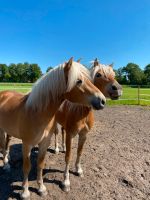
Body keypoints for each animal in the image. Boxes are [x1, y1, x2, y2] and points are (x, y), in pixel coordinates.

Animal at [0, 57, 106, 198]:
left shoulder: (44, 143)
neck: (36, 112)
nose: (102, 101)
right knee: (2, 146)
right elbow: (27, 167)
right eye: (78, 81)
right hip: (1, 130)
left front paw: (41, 188)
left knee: (7, 144)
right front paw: (25, 192)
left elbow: (40, 164)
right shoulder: (27, 144)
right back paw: (6, 165)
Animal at [52, 58, 122, 191]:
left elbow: (79, 152)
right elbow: (68, 156)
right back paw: (57, 149)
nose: (118, 89)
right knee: (56, 133)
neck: (81, 112)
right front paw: (66, 182)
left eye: (114, 74)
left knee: (62, 132)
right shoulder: (71, 134)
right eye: (98, 74)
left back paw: (63, 147)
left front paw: (78, 170)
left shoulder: (84, 135)